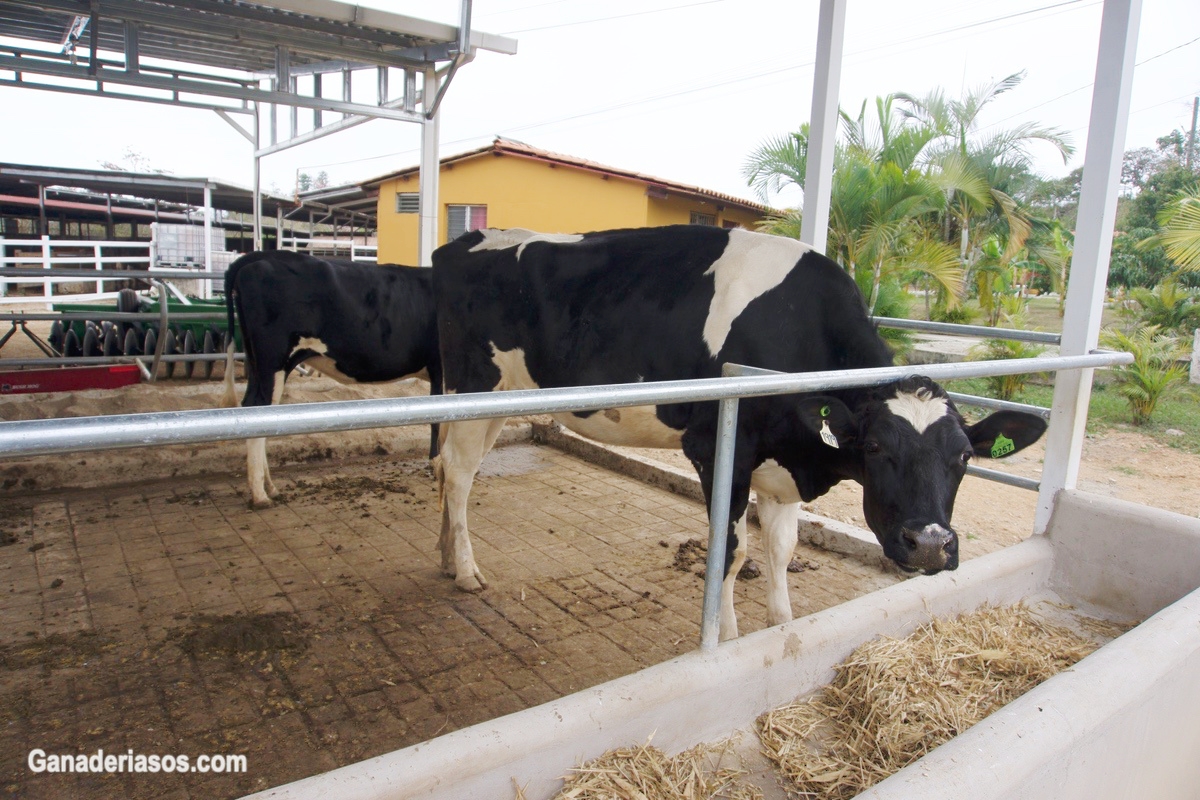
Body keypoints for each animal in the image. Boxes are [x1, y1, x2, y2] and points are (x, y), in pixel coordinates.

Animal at [222, 251, 441, 506]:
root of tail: (264, 256)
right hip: (272, 361)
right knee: (258, 407)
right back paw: (260, 495)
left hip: (258, 364)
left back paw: (271, 488)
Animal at [429, 225, 1041, 642]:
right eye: (874, 448)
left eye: (965, 458)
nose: (932, 545)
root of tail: (463, 243)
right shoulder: (717, 449)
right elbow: (732, 547)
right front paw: (725, 637)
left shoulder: (786, 461)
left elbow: (780, 548)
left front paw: (781, 625)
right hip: (475, 387)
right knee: (457, 474)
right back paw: (467, 572)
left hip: (495, 400)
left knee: (451, 470)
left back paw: (445, 555)